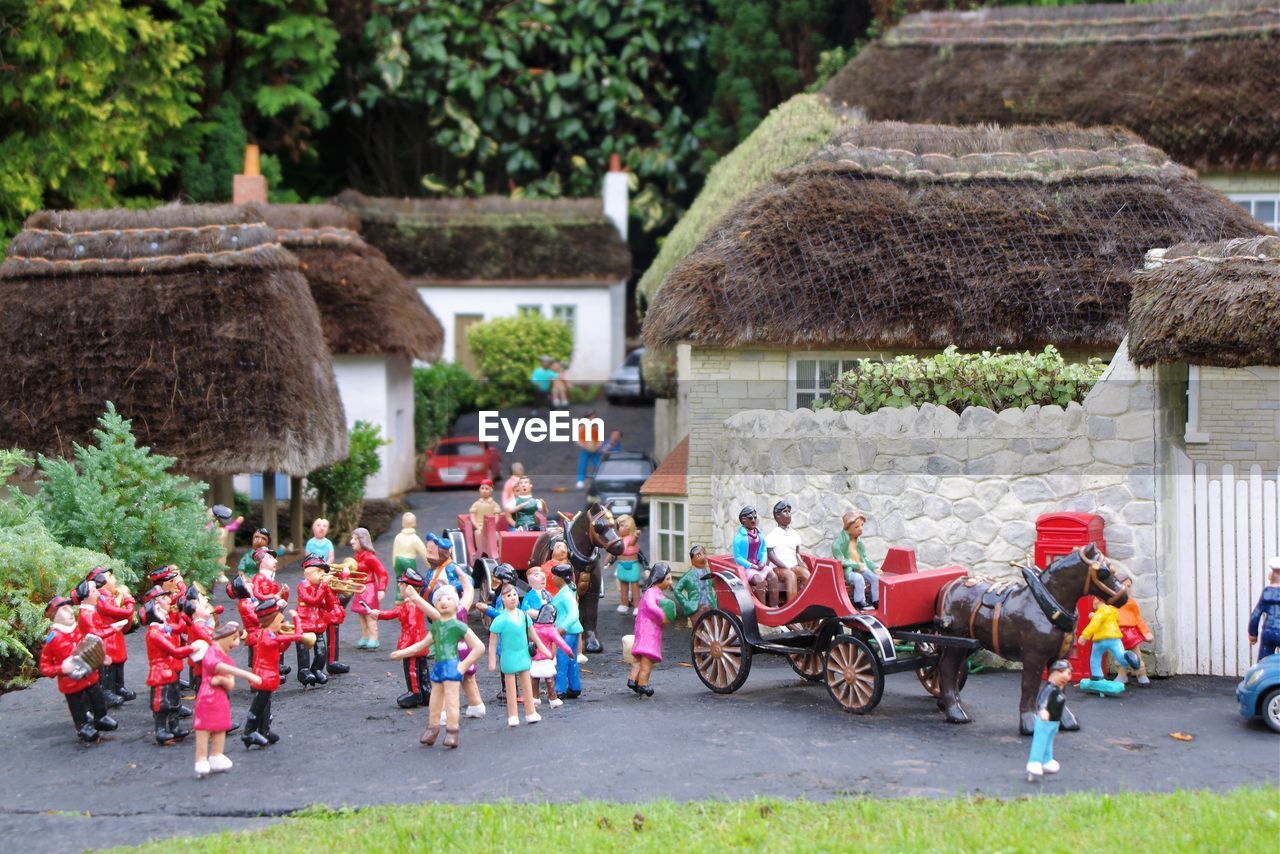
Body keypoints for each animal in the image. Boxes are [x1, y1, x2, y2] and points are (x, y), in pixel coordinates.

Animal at [931, 547, 1131, 737]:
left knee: (951, 669)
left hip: (967, 644)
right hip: (955, 642)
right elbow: (1030, 687)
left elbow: (1061, 685)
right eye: (1103, 572)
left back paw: (948, 704)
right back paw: (955, 712)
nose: (1124, 597)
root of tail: (950, 585)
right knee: (947, 668)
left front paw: (1065, 720)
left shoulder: (1061, 655)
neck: (1046, 606)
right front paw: (1029, 724)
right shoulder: (1034, 657)